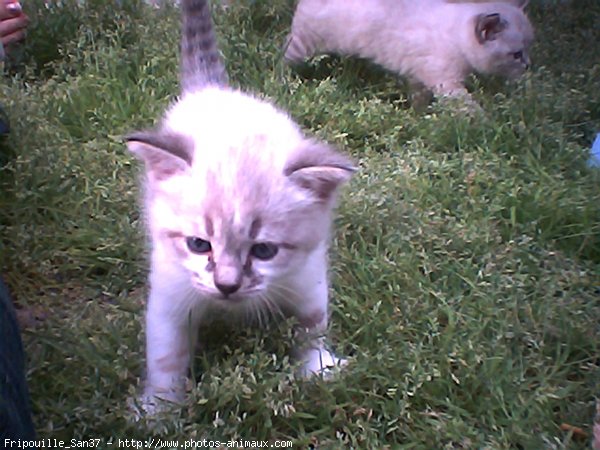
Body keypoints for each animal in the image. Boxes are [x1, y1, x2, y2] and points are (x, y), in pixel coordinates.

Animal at [125, 0, 354, 404]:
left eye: (264, 250)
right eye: (198, 244)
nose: (226, 286)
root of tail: (214, 89)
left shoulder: (308, 274)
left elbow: (312, 324)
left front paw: (315, 368)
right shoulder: (170, 288)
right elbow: (167, 356)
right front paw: (159, 409)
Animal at [286, 0, 536, 104]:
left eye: (528, 49)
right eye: (516, 54)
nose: (528, 65)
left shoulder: (418, 76)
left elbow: (419, 99)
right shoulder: (447, 83)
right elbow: (469, 108)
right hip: (304, 45)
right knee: (285, 59)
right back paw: (288, 83)